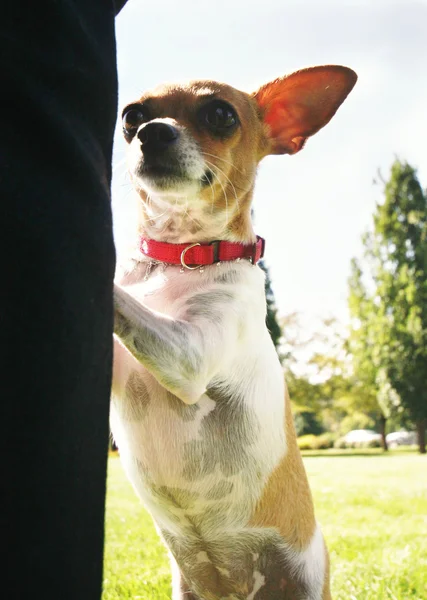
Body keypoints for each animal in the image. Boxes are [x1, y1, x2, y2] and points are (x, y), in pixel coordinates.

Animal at [111, 65, 358, 600]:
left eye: (221, 115)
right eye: (131, 115)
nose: (150, 131)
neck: (178, 259)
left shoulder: (188, 356)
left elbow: (126, 305)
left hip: (306, 581)